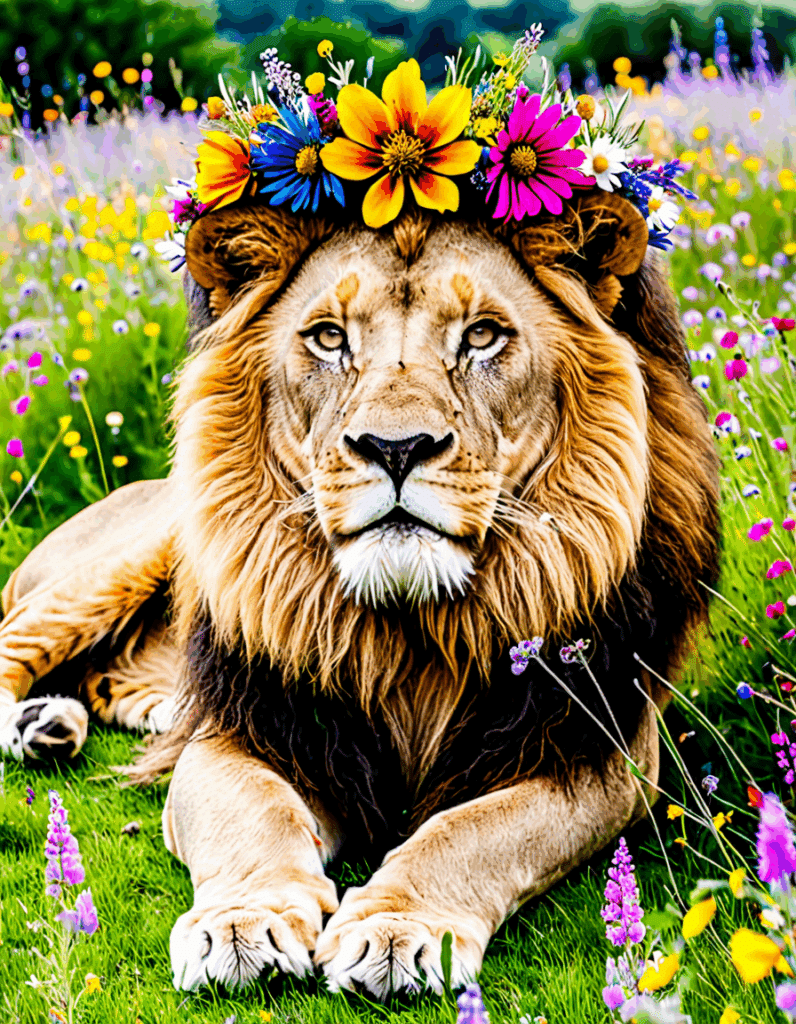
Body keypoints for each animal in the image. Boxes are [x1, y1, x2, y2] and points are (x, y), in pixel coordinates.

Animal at [0, 190, 719, 999]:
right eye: (329, 338)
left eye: (482, 336)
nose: (395, 447)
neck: (408, 632)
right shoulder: (243, 736)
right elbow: (257, 815)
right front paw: (242, 924)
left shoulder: (599, 757)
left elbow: (474, 831)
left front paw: (398, 928)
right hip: (121, 562)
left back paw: (61, 722)